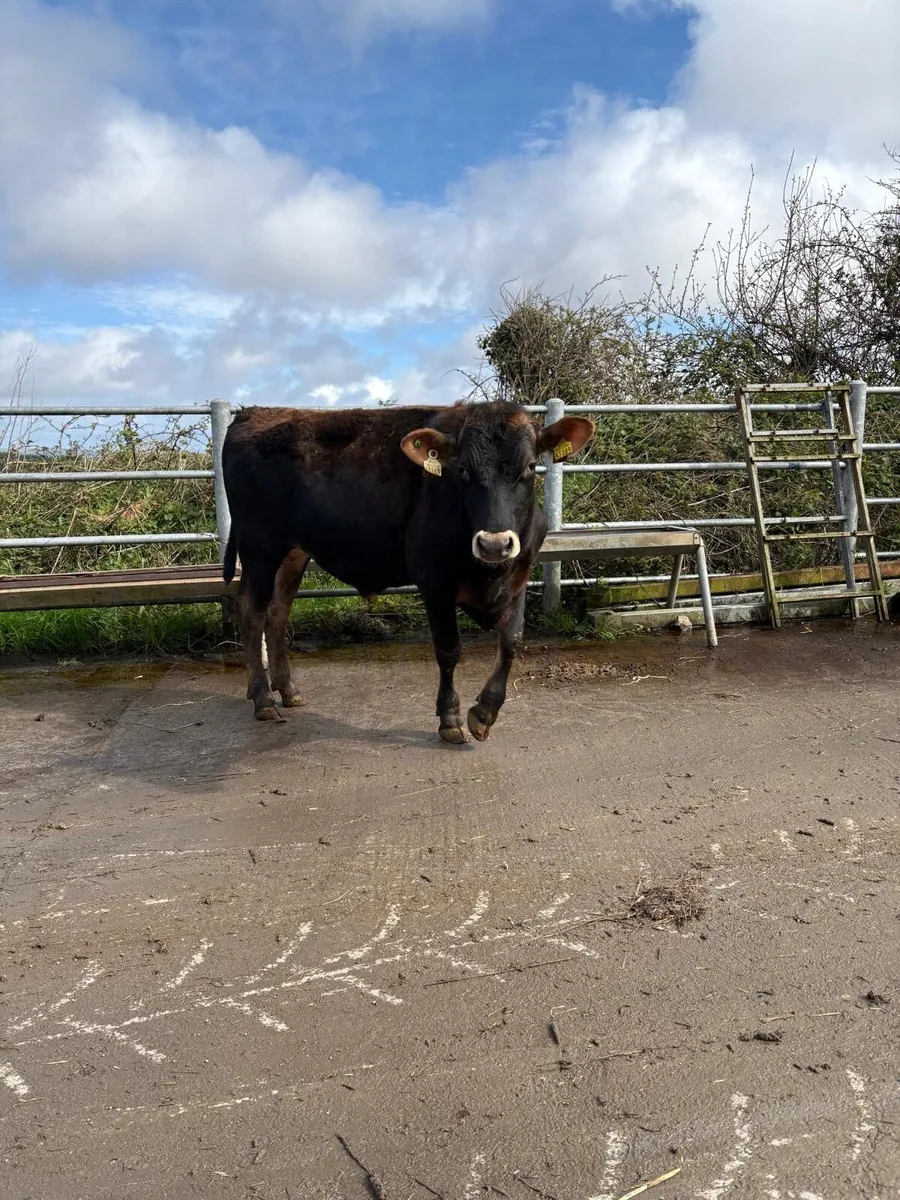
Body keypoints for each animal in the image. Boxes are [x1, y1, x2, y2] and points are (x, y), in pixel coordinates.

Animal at [222, 401, 594, 742]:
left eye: (530, 466)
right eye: (462, 469)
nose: (493, 544)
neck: (489, 573)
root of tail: (254, 412)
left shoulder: (519, 574)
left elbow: (512, 641)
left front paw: (485, 711)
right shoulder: (434, 581)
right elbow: (448, 649)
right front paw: (449, 717)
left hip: (293, 554)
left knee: (277, 613)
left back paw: (288, 690)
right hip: (260, 549)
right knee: (252, 613)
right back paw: (263, 698)